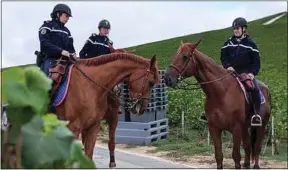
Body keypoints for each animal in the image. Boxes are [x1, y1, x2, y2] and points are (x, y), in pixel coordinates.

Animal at [163, 39, 272, 169]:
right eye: (174, 56)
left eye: (185, 57)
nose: (167, 78)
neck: (221, 93)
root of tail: (266, 89)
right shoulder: (214, 128)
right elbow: (219, 156)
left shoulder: (236, 129)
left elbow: (236, 156)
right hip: (246, 127)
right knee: (247, 146)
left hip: (261, 126)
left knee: (256, 147)